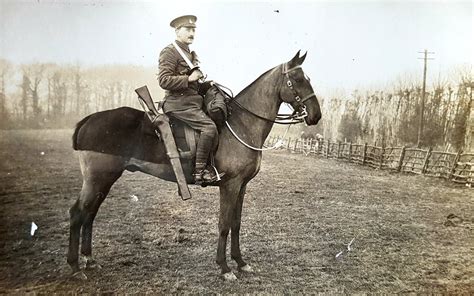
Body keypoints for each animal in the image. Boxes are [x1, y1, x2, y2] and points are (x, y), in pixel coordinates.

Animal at [67, 51, 322, 280]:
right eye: (298, 79)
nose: (316, 116)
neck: (241, 123)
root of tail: (88, 120)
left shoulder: (242, 186)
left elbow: (237, 223)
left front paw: (240, 262)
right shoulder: (230, 185)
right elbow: (224, 224)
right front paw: (224, 268)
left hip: (104, 180)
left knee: (90, 213)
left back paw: (89, 260)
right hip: (98, 178)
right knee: (78, 213)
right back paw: (75, 267)